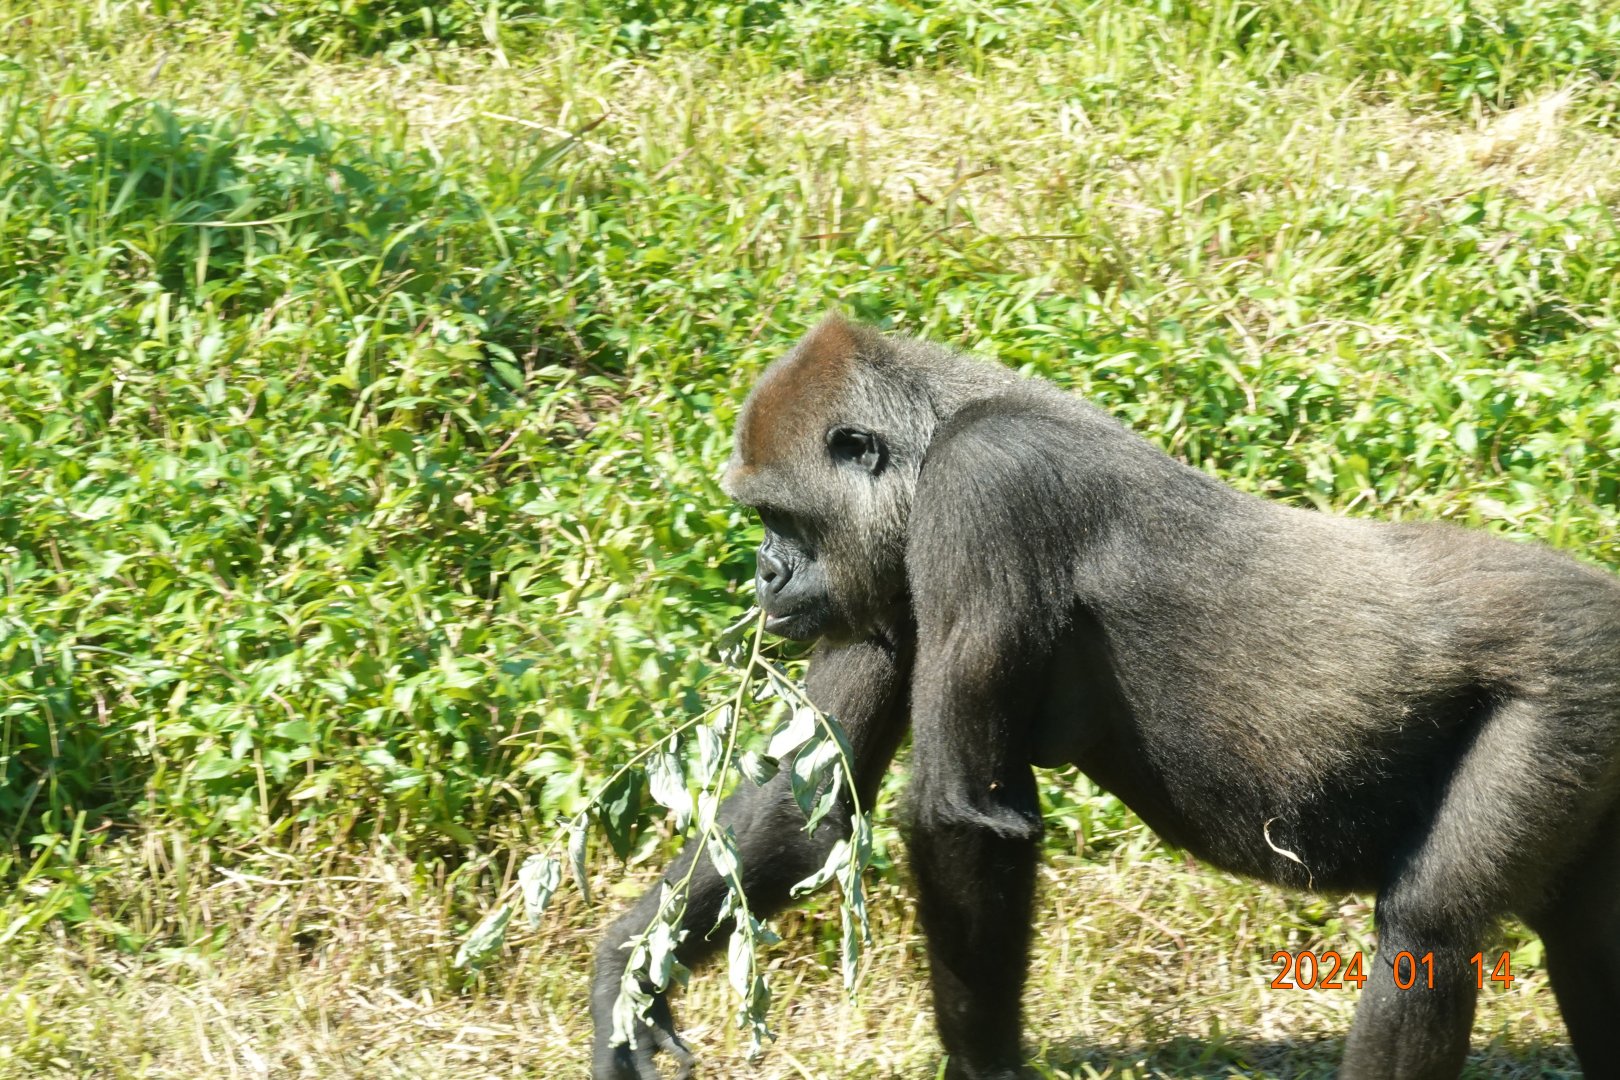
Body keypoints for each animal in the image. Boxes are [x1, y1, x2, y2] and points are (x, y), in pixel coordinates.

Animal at [592, 315, 1620, 1080]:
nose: (765, 575)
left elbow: (962, 814)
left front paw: (983, 1072)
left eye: (780, 517)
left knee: (1428, 933)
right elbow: (808, 811)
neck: (935, 434)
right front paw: (625, 978)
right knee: (1583, 938)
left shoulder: (985, 488)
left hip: (1571, 693)